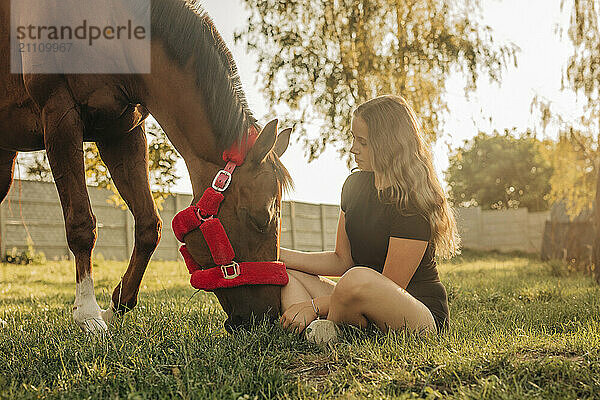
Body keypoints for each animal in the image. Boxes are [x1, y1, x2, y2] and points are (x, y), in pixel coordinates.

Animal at [0, 0, 292, 332]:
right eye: (261, 218)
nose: (268, 318)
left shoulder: (122, 132)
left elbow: (149, 225)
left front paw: (116, 306)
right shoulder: (60, 118)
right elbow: (81, 225)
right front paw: (88, 314)